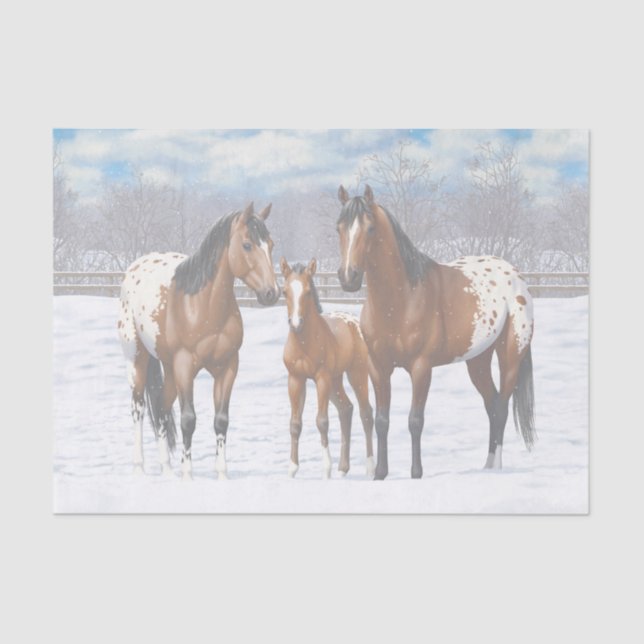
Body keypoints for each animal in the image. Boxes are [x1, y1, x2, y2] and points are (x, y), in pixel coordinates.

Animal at [118, 202, 280, 480]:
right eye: (247, 244)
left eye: (270, 244)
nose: (272, 293)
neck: (202, 306)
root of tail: (135, 268)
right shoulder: (185, 366)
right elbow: (188, 420)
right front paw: (188, 474)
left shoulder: (227, 367)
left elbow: (221, 420)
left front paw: (222, 474)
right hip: (138, 358)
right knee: (138, 408)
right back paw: (139, 467)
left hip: (169, 368)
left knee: (161, 409)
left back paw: (166, 468)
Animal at [280, 257, 375, 479]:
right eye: (285, 291)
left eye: (308, 291)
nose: (296, 323)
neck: (304, 343)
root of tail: (354, 322)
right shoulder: (295, 379)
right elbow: (295, 424)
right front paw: (292, 469)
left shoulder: (321, 378)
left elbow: (322, 421)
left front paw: (326, 469)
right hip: (335, 380)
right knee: (346, 409)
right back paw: (343, 469)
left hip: (356, 374)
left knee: (366, 413)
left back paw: (370, 468)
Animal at [336, 185, 536, 480]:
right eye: (338, 227)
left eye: (370, 228)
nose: (348, 277)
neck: (402, 299)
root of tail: (515, 275)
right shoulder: (378, 368)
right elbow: (382, 420)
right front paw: (380, 473)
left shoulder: (421, 368)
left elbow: (415, 420)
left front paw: (416, 473)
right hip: (477, 361)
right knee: (491, 405)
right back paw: (486, 466)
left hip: (511, 356)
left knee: (500, 407)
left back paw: (497, 468)